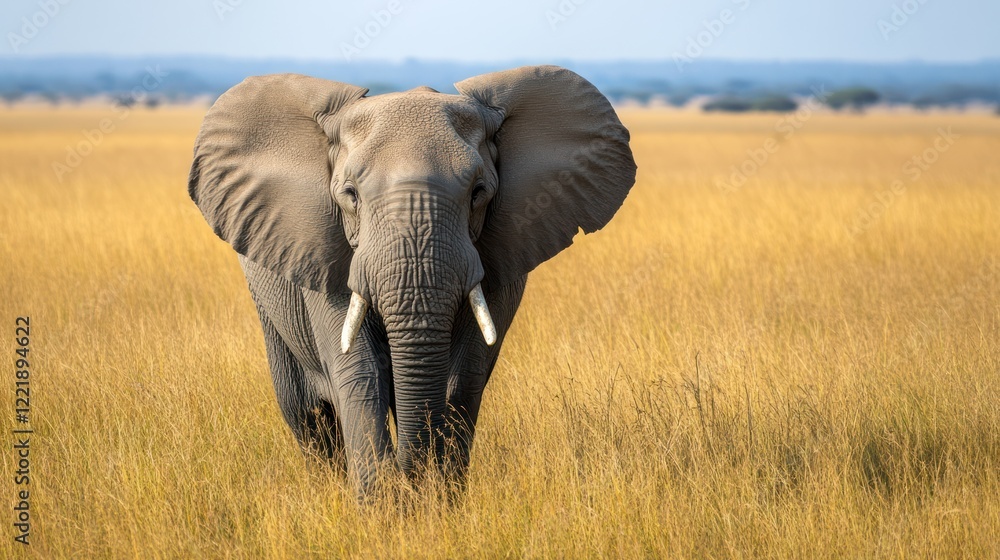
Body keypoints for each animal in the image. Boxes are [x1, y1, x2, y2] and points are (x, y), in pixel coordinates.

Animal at [187, 65, 636, 494]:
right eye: (350, 195)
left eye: (479, 192)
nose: (408, 478)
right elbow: (360, 370)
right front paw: (385, 505)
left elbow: (462, 378)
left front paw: (439, 500)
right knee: (305, 412)